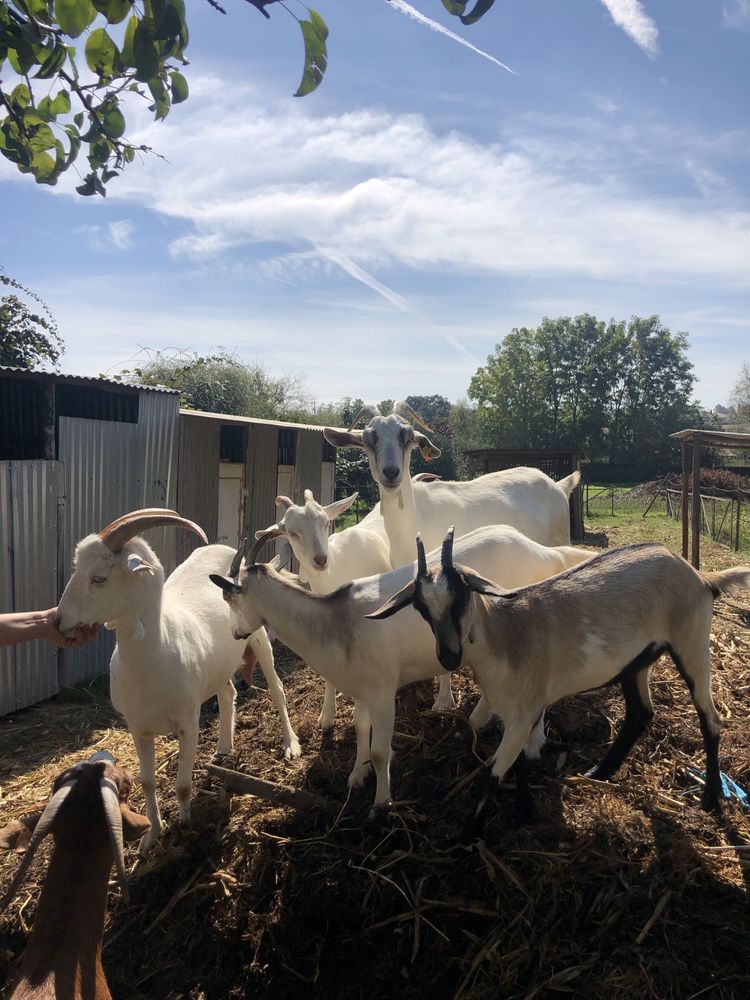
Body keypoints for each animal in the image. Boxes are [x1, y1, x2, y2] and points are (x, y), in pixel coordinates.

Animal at [56, 512, 302, 856]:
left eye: (99, 578)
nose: (58, 620)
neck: (153, 656)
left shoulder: (188, 722)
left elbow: (183, 785)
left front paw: (184, 829)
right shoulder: (138, 728)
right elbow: (147, 782)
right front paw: (151, 836)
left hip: (258, 636)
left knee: (277, 690)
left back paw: (291, 744)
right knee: (227, 692)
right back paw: (223, 748)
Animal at [370, 532, 750, 836]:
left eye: (461, 596)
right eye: (421, 607)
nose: (448, 656)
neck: (506, 634)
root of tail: (698, 575)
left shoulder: (524, 712)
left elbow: (491, 772)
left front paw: (467, 836)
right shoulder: (516, 712)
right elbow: (517, 763)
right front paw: (525, 811)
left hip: (692, 643)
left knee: (710, 719)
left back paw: (712, 798)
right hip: (637, 661)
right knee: (641, 712)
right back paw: (600, 771)